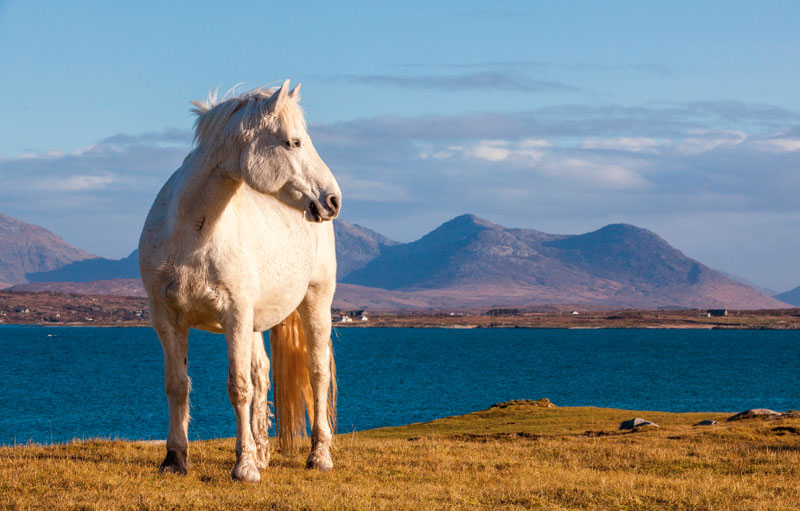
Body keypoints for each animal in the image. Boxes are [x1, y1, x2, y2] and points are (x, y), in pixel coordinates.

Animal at [139, 80, 340, 484]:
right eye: (293, 142)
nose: (333, 200)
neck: (191, 233)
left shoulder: (234, 316)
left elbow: (239, 387)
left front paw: (244, 466)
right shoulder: (166, 320)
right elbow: (177, 385)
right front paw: (174, 459)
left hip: (315, 302)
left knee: (317, 374)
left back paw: (318, 456)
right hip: (256, 321)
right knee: (262, 373)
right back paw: (263, 452)